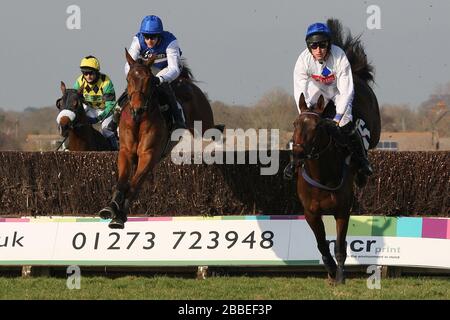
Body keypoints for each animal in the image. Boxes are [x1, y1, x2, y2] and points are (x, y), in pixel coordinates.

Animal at [100, 50, 223, 229]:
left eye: (149, 80)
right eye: (129, 79)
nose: (137, 109)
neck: (139, 119)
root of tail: (185, 81)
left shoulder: (148, 154)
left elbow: (134, 185)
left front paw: (120, 216)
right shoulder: (126, 152)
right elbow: (122, 183)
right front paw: (111, 207)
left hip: (204, 125)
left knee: (216, 131)